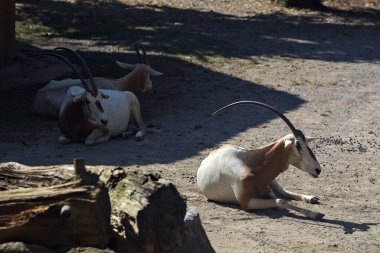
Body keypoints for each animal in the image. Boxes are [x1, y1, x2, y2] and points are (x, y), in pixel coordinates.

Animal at [197, 101, 326, 219]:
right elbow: (281, 201)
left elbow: (282, 198)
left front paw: (314, 211)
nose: (318, 170)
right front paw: (315, 213)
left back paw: (311, 198)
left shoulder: (266, 191)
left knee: (283, 191)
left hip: (272, 181)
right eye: (298, 145)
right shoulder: (246, 202)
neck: (253, 167)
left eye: (307, 144)